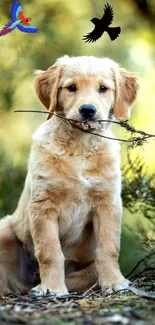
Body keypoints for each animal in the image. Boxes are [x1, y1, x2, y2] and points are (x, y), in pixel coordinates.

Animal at [0, 56, 139, 296]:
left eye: (103, 88)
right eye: (71, 87)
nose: (88, 110)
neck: (81, 147)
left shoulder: (108, 202)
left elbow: (109, 247)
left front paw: (114, 282)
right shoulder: (43, 204)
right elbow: (49, 251)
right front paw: (53, 288)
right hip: (5, 230)